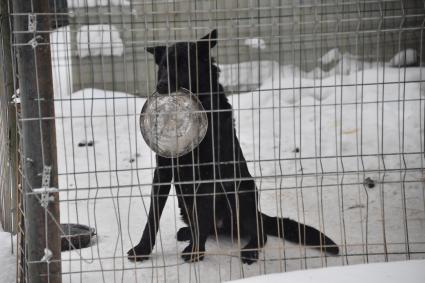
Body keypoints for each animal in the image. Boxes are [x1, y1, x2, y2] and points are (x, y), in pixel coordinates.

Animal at [126, 30, 338, 266]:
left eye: (183, 65)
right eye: (163, 66)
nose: (161, 86)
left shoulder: (208, 175)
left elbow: (202, 213)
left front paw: (196, 252)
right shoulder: (162, 171)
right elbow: (152, 216)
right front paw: (142, 249)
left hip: (241, 194)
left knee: (259, 232)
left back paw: (249, 250)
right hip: (185, 201)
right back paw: (188, 232)